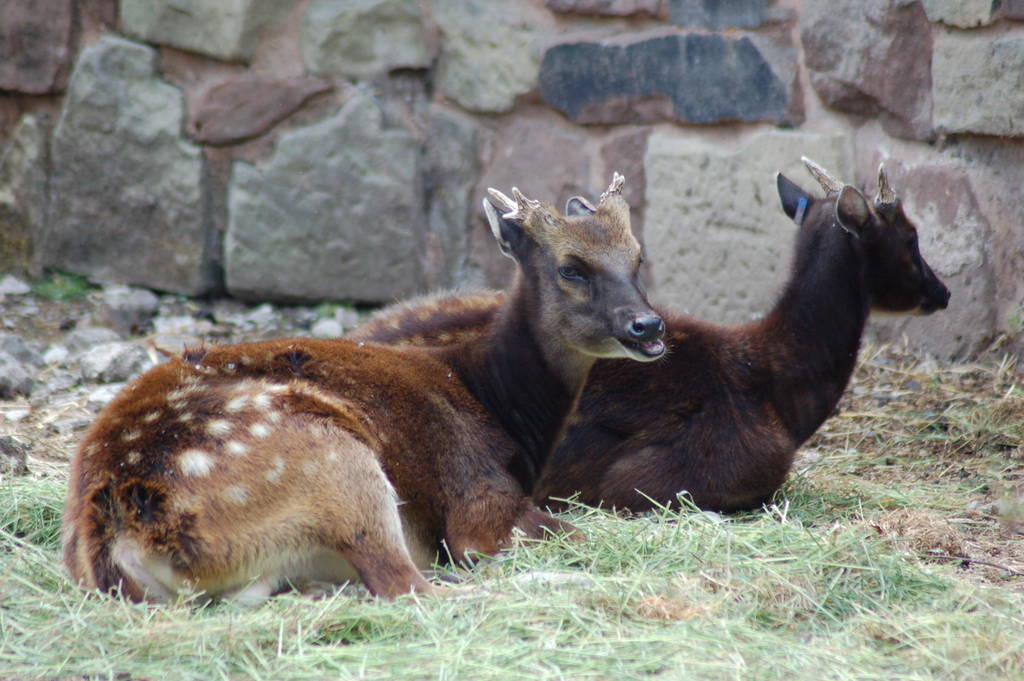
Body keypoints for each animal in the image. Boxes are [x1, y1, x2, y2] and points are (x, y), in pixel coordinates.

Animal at [61, 174, 666, 603]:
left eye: (638, 258)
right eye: (571, 268)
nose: (649, 326)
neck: (494, 402)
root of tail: (117, 530)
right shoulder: (478, 499)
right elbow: (577, 533)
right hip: (334, 463)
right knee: (409, 587)